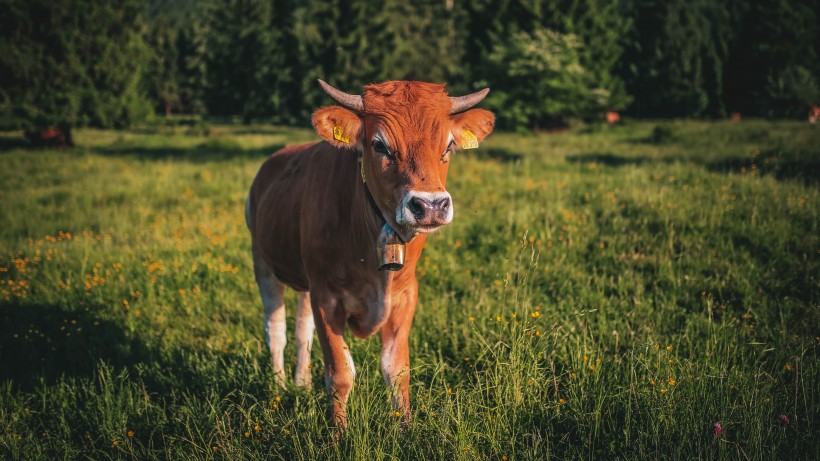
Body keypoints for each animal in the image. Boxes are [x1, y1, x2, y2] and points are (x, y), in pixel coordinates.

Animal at [245, 80, 494, 428]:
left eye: (447, 147)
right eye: (380, 146)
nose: (430, 206)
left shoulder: (405, 295)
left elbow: (397, 369)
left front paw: (406, 429)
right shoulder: (327, 297)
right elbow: (340, 373)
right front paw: (339, 434)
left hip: (304, 281)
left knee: (302, 330)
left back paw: (300, 383)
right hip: (263, 264)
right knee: (276, 329)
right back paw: (279, 387)